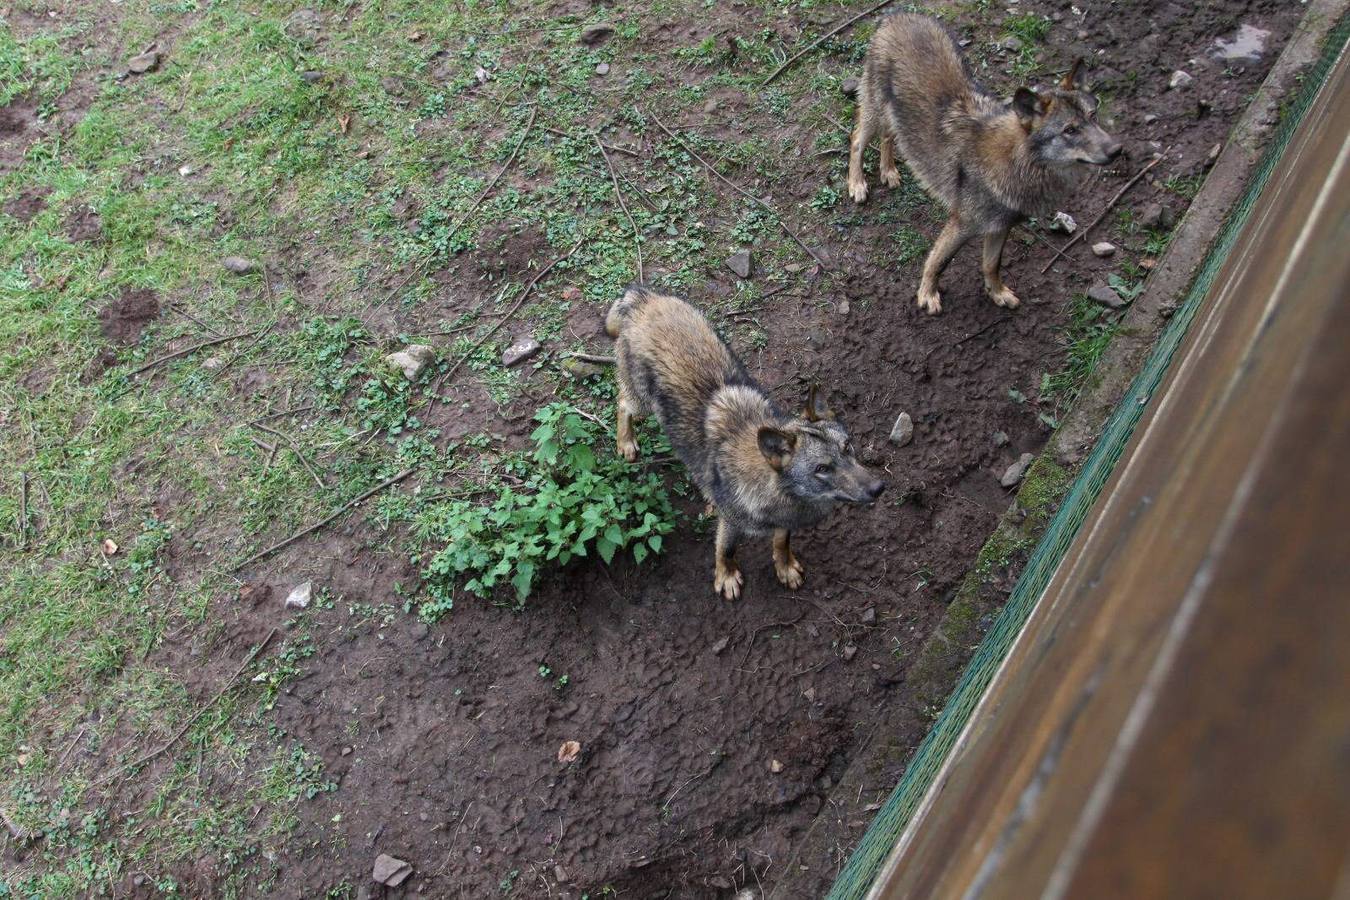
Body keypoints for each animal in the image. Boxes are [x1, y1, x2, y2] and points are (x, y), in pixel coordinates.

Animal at [604, 284, 880, 601]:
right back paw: (626, 443)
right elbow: (726, 549)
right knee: (623, 404)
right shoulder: (732, 522)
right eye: (822, 468)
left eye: (848, 448)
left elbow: (782, 542)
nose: (878, 488)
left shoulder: (783, 523)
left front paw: (785, 567)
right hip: (643, 404)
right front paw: (726, 577)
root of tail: (644, 298)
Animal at [847, 11, 1123, 317]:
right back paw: (857, 183)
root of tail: (898, 14)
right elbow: (937, 262)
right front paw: (927, 295)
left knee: (888, 136)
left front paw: (997, 293)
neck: (1018, 164)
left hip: (894, 116)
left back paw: (889, 171)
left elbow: (992, 264)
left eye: (1094, 116)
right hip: (874, 112)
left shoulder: (1000, 227)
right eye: (1070, 130)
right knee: (857, 140)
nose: (1117, 150)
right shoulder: (961, 224)